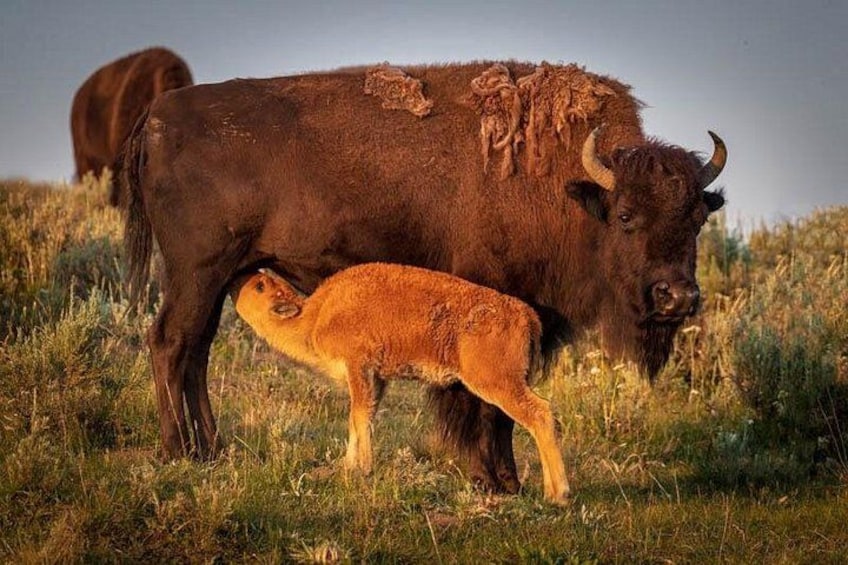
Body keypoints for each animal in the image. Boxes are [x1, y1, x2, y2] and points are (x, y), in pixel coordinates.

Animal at [115, 61, 726, 493]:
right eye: (625, 216)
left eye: (699, 216)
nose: (676, 297)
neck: (572, 189)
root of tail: (156, 119)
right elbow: (481, 405)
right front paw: (493, 481)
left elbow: (502, 408)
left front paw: (507, 480)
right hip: (197, 273)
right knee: (171, 343)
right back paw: (179, 451)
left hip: (224, 278)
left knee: (195, 352)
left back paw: (212, 448)